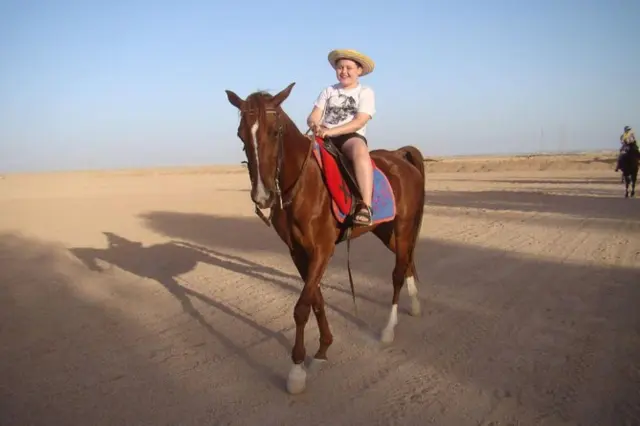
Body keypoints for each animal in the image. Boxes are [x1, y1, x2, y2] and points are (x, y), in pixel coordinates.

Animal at [225, 82, 426, 394]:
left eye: (275, 131)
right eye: (241, 134)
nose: (262, 196)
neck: (304, 185)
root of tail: (399, 156)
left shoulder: (322, 249)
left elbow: (301, 307)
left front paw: (296, 371)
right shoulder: (298, 252)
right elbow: (315, 300)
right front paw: (321, 351)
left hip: (403, 225)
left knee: (396, 271)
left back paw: (388, 329)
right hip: (385, 230)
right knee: (406, 259)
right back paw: (414, 305)